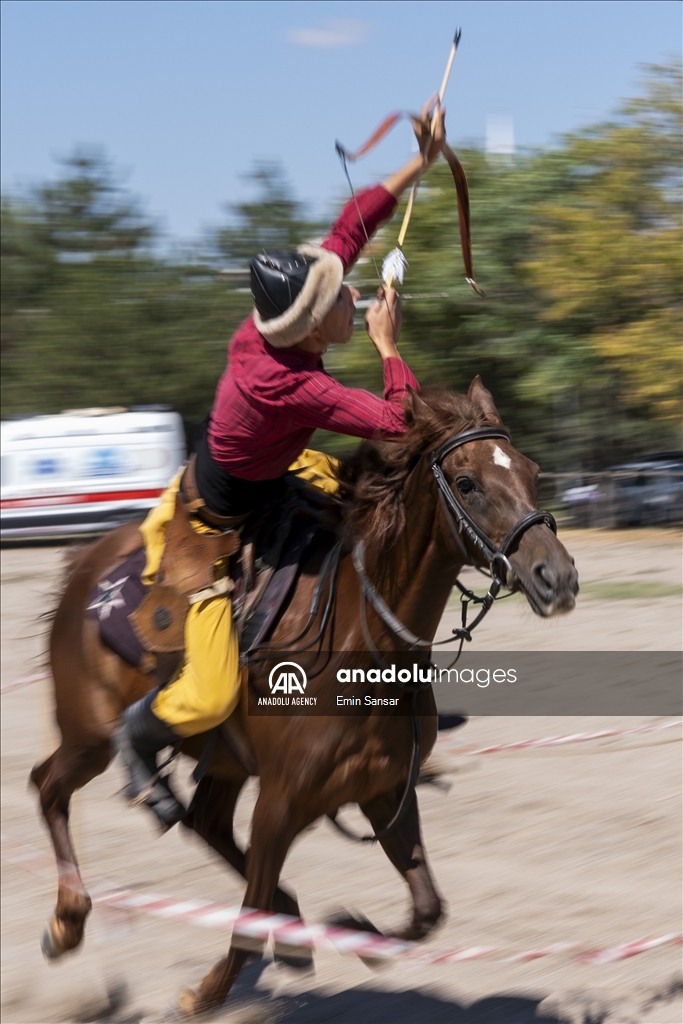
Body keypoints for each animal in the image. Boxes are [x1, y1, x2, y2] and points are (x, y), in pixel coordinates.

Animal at [30, 376, 577, 1015]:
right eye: (467, 483)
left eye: (531, 471)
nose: (557, 577)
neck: (361, 645)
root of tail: (83, 568)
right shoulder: (280, 802)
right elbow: (249, 916)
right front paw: (205, 994)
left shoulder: (383, 791)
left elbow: (426, 908)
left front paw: (353, 928)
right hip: (89, 736)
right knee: (49, 786)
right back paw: (68, 919)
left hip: (224, 762)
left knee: (206, 823)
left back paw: (290, 926)